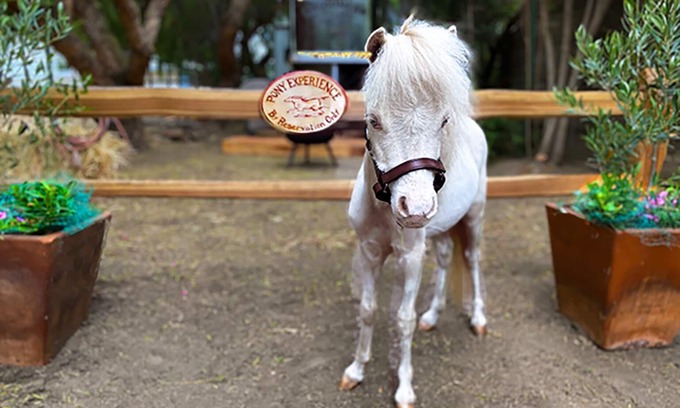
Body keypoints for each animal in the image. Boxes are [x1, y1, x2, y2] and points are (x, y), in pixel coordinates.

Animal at [339, 16, 488, 408]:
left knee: (471, 259)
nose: (416, 209)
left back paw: (479, 318)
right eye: (373, 120)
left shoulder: (409, 259)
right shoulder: (370, 252)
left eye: (443, 121)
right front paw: (356, 370)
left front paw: (404, 388)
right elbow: (367, 310)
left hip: (474, 218)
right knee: (446, 256)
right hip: (440, 231)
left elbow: (402, 319)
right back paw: (432, 316)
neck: (384, 210)